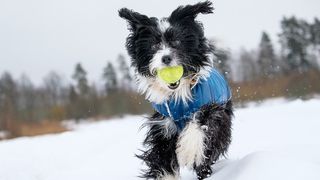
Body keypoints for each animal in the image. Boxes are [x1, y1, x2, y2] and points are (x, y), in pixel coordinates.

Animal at [119, 1, 234, 179]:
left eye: (177, 41)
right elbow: (162, 157)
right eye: (154, 45)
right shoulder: (163, 125)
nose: (166, 58)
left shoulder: (212, 110)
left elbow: (200, 125)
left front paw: (188, 151)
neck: (178, 94)